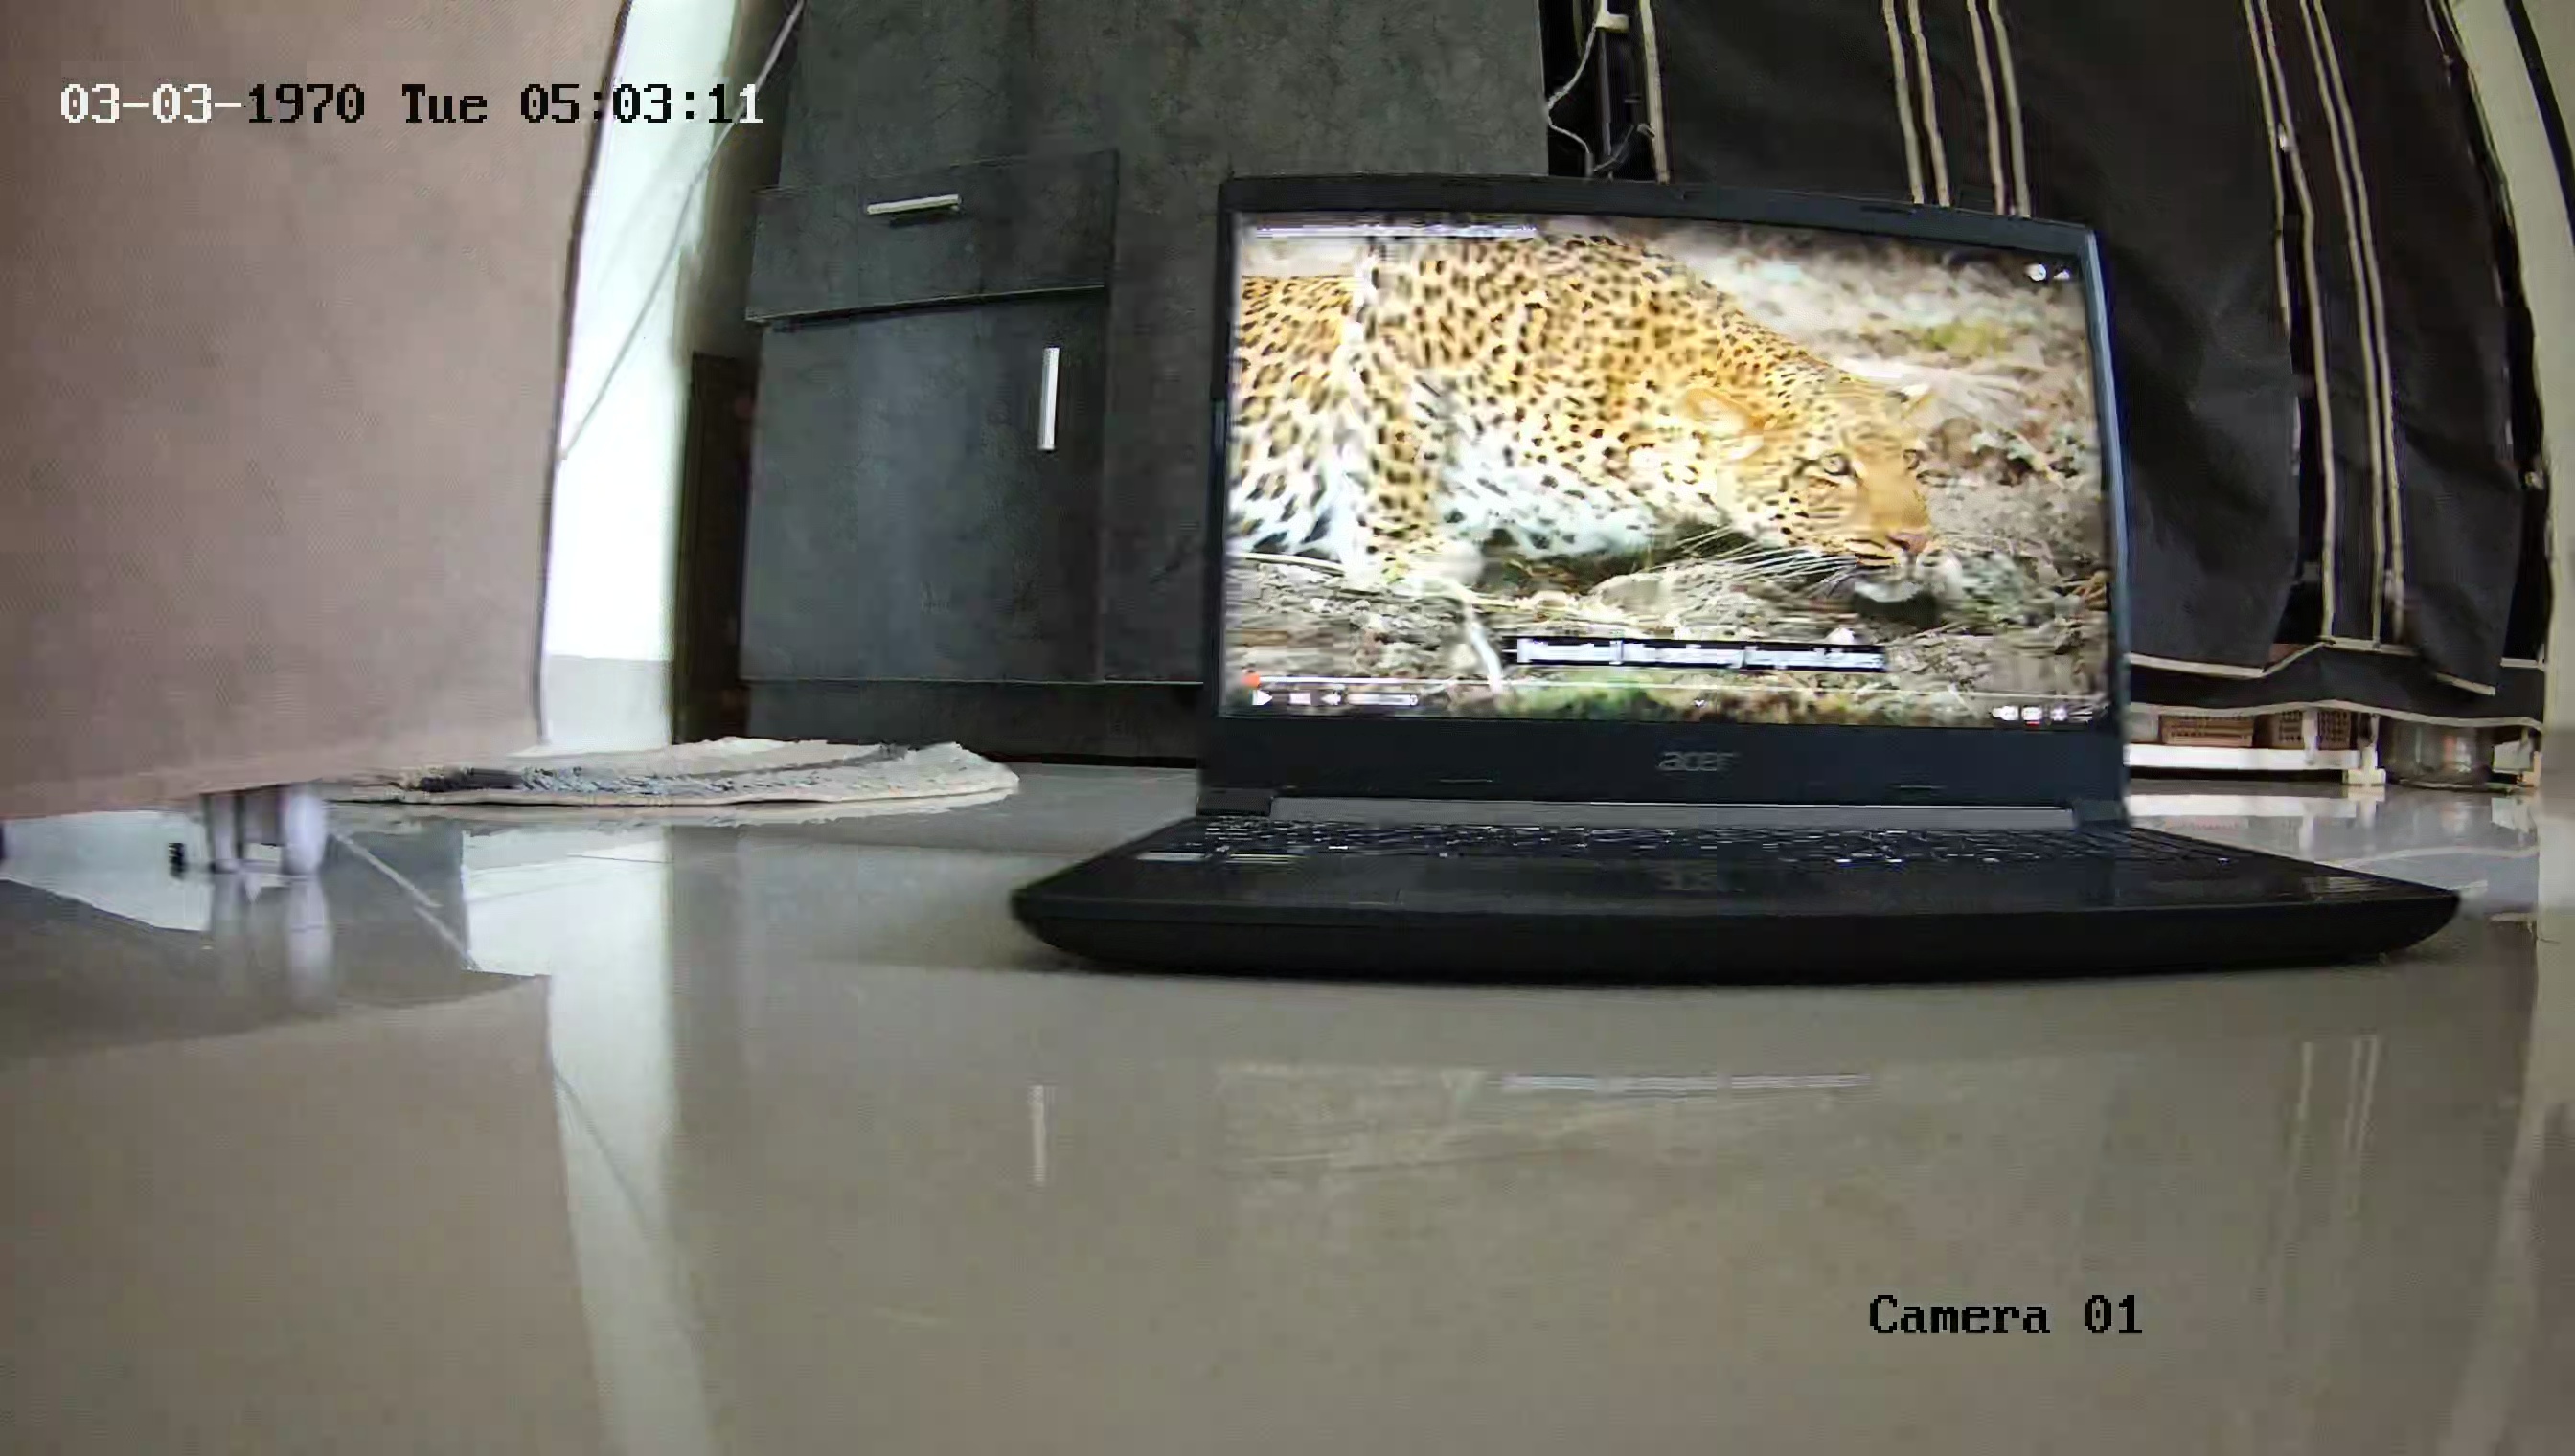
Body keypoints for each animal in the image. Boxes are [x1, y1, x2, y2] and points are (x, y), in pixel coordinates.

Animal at [1225, 230, 1945, 604]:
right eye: (1834, 468)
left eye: (1912, 462)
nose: (1915, 543)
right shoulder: (1400, 309)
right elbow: (1394, 444)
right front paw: (1405, 555)